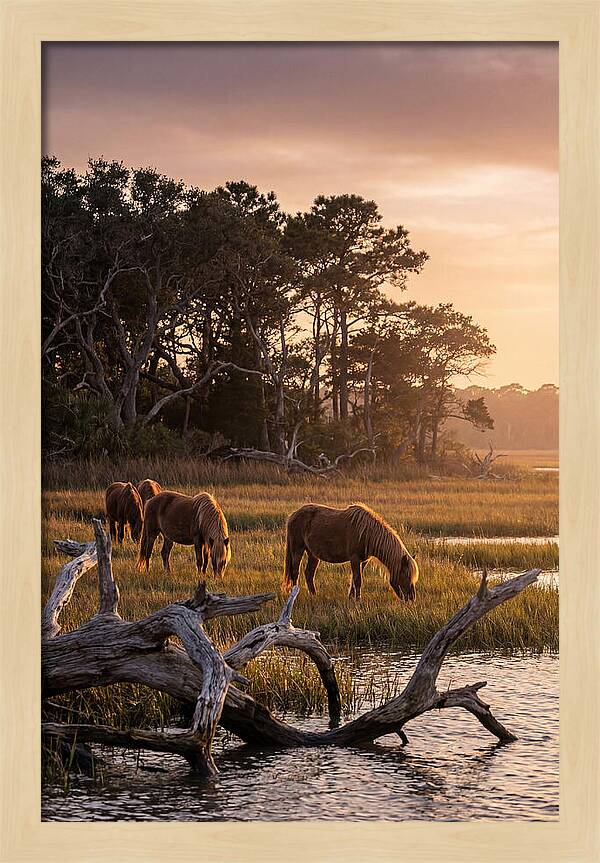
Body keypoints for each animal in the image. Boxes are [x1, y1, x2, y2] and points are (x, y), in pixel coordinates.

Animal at [284, 502, 418, 601]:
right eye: (405, 575)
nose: (411, 598)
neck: (367, 532)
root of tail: (293, 515)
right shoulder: (354, 558)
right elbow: (358, 580)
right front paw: (358, 600)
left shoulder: (363, 561)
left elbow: (354, 578)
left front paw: (351, 598)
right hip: (297, 550)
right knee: (295, 572)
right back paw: (294, 596)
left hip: (313, 554)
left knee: (309, 574)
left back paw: (314, 595)